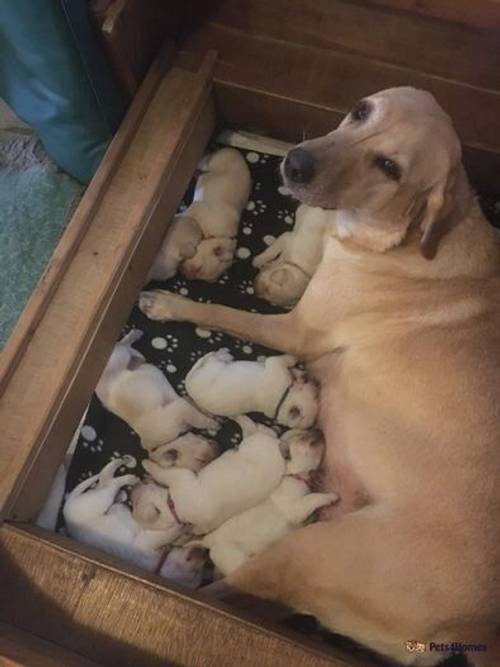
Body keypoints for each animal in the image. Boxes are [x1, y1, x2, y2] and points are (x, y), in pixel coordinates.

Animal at [141, 418, 288, 536]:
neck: (178, 510)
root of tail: (278, 447)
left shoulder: (179, 477)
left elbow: (160, 472)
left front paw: (146, 464)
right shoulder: (204, 527)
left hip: (251, 443)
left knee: (251, 428)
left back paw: (240, 418)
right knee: (266, 430)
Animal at [186, 350, 318, 428]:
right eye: (316, 396)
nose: (317, 384)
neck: (283, 401)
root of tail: (188, 383)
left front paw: (299, 375)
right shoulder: (276, 364)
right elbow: (286, 361)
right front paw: (296, 359)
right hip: (214, 367)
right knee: (209, 358)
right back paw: (224, 354)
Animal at [189, 430, 338, 576]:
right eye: (305, 439)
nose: (319, 430)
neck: (293, 474)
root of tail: (208, 540)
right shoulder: (295, 509)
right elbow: (313, 498)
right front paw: (329, 497)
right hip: (235, 560)